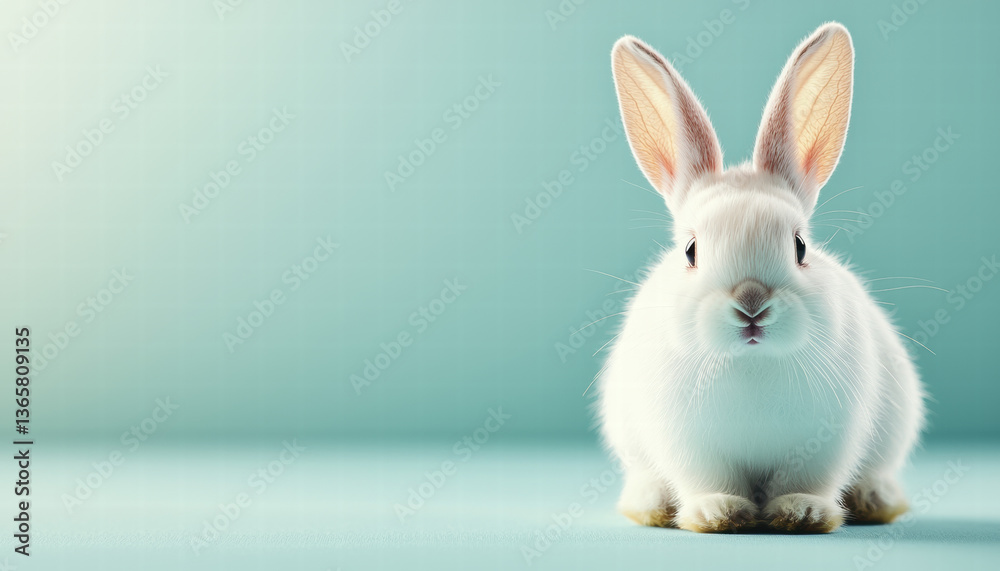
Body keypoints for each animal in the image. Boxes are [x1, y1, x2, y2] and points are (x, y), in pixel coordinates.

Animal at [598, 22, 925, 533]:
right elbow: (709, 480)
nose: (751, 303)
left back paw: (875, 499)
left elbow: (806, 481)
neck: (751, 364)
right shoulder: (690, 445)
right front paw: (718, 513)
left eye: (800, 247)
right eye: (691, 251)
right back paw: (650, 504)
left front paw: (801, 512)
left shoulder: (825, 441)